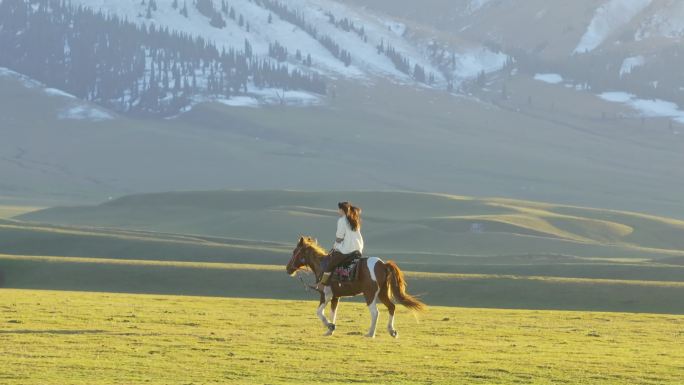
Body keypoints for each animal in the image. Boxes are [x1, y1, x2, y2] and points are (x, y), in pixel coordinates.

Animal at [282, 236, 422, 338]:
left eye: (295, 252)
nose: (288, 269)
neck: (321, 265)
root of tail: (382, 264)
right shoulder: (335, 297)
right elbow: (333, 313)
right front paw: (330, 330)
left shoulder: (325, 295)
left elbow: (319, 312)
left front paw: (330, 326)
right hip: (382, 293)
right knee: (391, 307)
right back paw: (392, 331)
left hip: (370, 294)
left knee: (375, 312)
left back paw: (370, 333)